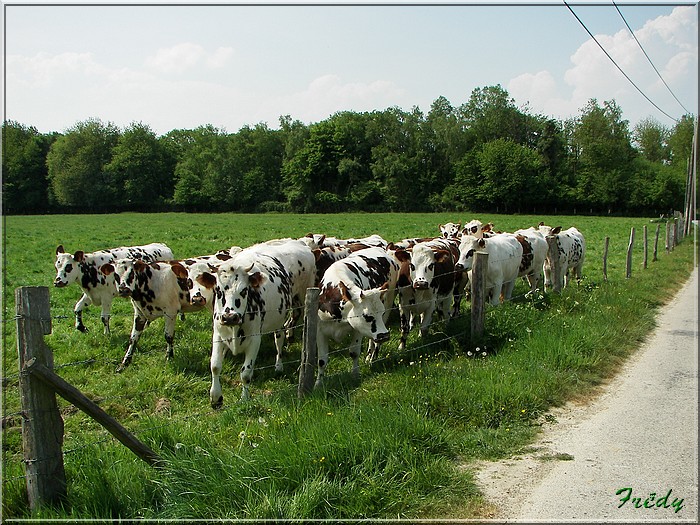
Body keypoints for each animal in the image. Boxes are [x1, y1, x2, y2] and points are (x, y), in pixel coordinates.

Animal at [209, 239, 316, 404]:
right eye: (218, 291)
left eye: (244, 290)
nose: (230, 317)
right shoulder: (218, 335)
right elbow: (215, 366)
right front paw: (215, 397)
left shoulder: (254, 339)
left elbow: (246, 372)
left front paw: (244, 399)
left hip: (301, 300)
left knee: (281, 338)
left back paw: (279, 365)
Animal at [316, 246, 400, 384]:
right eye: (367, 316)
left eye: (380, 312)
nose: (384, 335)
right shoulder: (320, 330)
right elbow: (322, 360)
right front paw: (318, 383)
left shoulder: (359, 329)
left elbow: (354, 352)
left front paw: (355, 375)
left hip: (388, 305)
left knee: (374, 341)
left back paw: (372, 357)